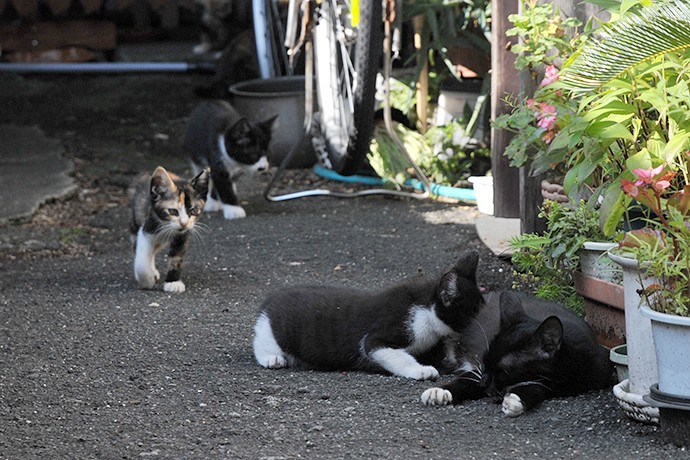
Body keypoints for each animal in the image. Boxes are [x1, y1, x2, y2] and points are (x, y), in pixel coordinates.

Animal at [253, 250, 484, 380]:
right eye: (473, 312)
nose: (485, 325)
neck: (425, 312)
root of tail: (270, 299)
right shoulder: (379, 337)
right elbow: (396, 355)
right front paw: (421, 370)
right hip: (273, 329)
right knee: (261, 341)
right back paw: (272, 358)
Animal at [420, 292, 612, 416]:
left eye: (504, 371)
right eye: (484, 361)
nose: (483, 383)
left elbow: (540, 386)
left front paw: (516, 399)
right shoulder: (477, 370)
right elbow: (467, 379)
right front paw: (440, 391)